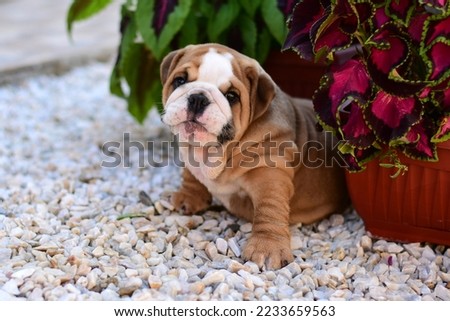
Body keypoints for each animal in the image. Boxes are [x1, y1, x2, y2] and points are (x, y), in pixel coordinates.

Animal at [160, 42, 350, 268]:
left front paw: (267, 248)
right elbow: (191, 175)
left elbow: (269, 209)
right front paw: (188, 197)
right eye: (180, 80)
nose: (198, 98)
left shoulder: (270, 173)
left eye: (231, 96)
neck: (217, 150)